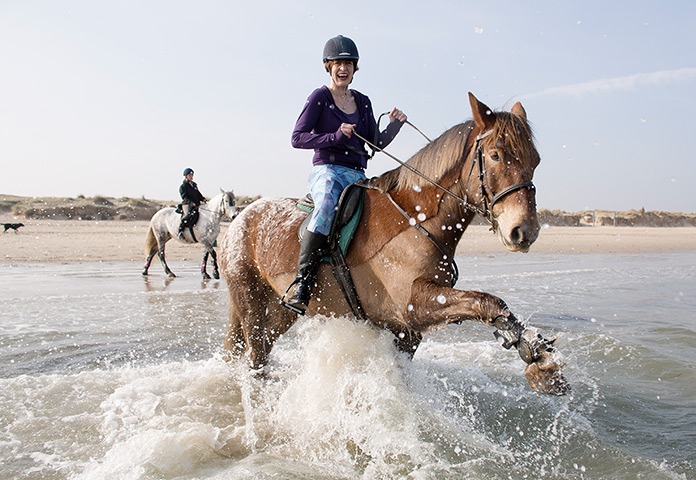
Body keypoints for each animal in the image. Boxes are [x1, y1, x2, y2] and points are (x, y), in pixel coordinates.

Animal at [219, 93, 570, 395]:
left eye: (535, 160)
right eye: (496, 155)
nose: (524, 231)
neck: (416, 218)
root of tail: (240, 218)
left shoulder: (406, 331)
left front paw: (538, 355)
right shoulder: (414, 305)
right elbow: (489, 302)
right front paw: (537, 355)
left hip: (280, 310)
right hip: (251, 302)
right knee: (255, 356)